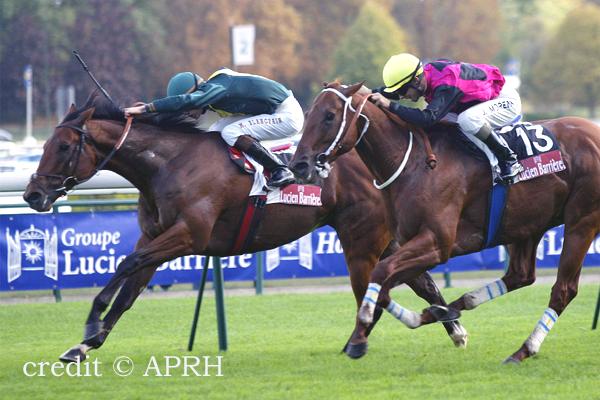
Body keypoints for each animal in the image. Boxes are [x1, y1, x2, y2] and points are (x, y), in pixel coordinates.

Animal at [23, 91, 467, 362]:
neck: (166, 164)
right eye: (45, 145)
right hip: (380, 237)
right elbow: (130, 289)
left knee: (377, 285)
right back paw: (454, 326)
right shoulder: (156, 236)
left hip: (360, 236)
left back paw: (360, 342)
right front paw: (83, 345)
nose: (32, 195)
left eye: (63, 146)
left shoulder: (188, 236)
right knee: (419, 280)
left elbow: (126, 264)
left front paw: (91, 322)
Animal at [290, 81, 600, 363]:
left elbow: (380, 274)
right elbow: (387, 287)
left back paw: (524, 349)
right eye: (308, 112)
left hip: (581, 221)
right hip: (528, 223)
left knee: (563, 290)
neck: (414, 163)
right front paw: (427, 317)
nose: (298, 165)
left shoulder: (437, 243)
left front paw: (363, 328)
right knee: (521, 275)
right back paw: (457, 307)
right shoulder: (413, 243)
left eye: (330, 115)